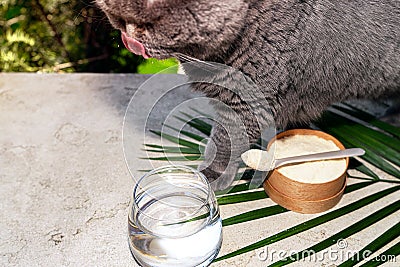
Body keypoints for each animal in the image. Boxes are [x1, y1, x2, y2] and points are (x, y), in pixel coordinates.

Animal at [95, 0, 398, 193]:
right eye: (116, 20)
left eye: (147, 23)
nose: (128, 40)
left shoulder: (248, 99)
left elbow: (225, 142)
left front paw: (210, 176)